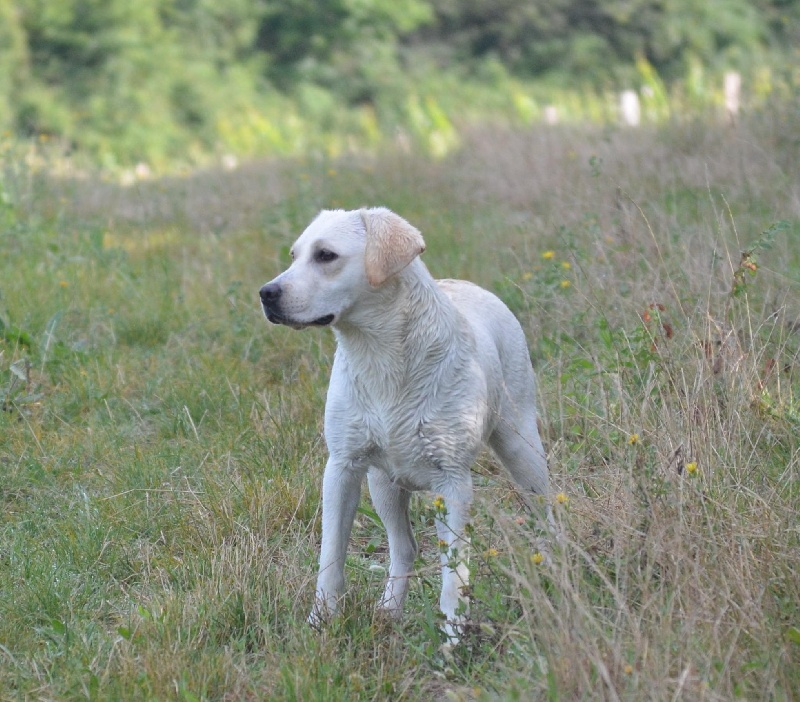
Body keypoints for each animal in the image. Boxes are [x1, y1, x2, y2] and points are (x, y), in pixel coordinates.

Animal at [260, 206, 552, 640]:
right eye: (294, 256)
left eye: (326, 255)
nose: (266, 293)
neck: (378, 355)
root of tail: (468, 284)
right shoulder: (342, 468)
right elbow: (331, 556)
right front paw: (321, 622)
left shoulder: (454, 480)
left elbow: (454, 574)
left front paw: (453, 638)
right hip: (383, 485)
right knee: (405, 547)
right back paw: (389, 610)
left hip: (522, 450)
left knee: (546, 516)